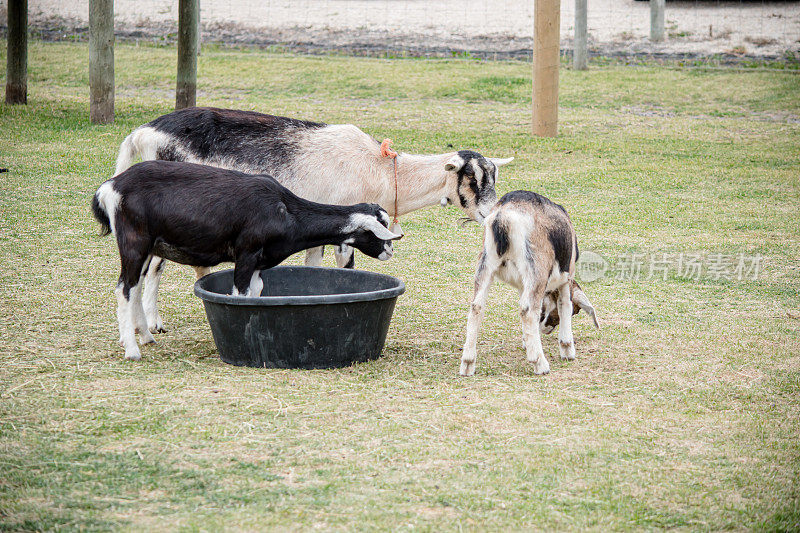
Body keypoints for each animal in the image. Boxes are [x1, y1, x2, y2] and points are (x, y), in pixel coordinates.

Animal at [94, 160, 404, 360]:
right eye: (379, 229)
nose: (389, 252)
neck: (286, 210)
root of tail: (110, 187)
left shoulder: (259, 263)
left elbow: (256, 295)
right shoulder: (246, 255)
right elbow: (240, 296)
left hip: (148, 248)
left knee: (134, 287)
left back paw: (145, 336)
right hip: (134, 243)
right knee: (124, 288)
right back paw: (132, 350)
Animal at [460, 190, 596, 374]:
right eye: (576, 311)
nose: (547, 329)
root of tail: (504, 216)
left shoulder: (523, 284)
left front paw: (527, 341)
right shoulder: (566, 278)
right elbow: (564, 306)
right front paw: (567, 349)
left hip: (486, 264)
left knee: (477, 307)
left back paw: (468, 363)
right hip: (537, 269)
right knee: (528, 310)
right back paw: (539, 363)